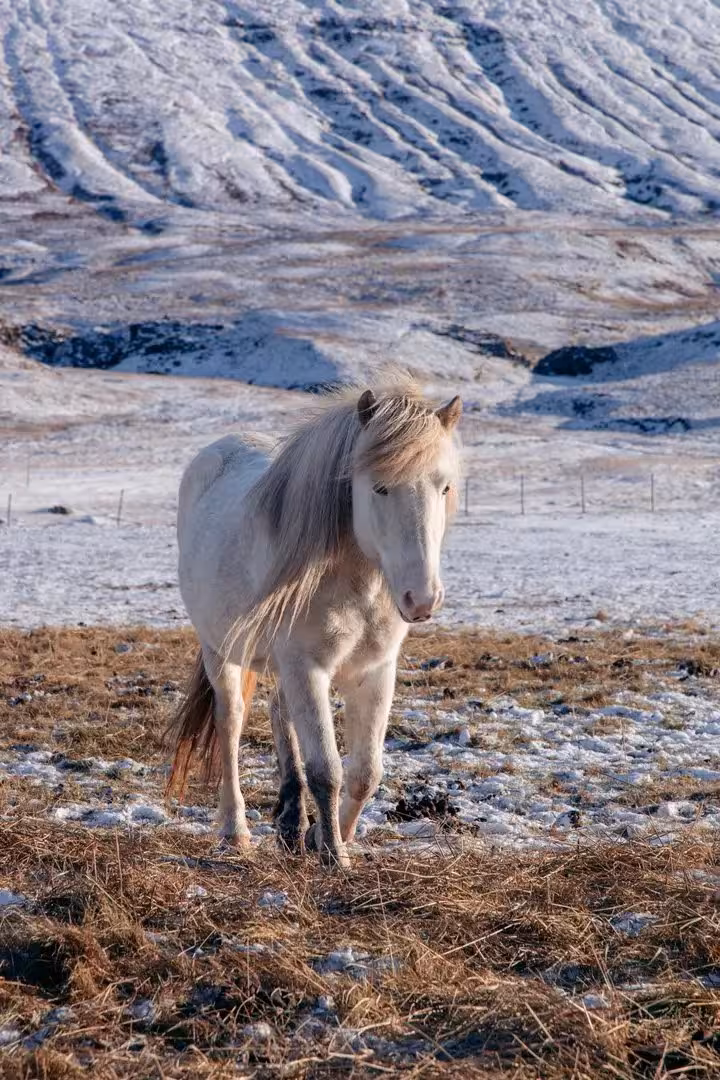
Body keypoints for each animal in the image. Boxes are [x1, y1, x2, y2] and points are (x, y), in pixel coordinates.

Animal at [166, 379, 462, 867]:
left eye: (444, 486)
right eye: (380, 488)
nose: (421, 599)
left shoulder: (374, 671)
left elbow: (365, 772)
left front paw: (323, 836)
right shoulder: (308, 668)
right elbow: (327, 768)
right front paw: (333, 854)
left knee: (279, 712)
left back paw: (291, 821)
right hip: (221, 652)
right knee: (231, 725)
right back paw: (235, 831)